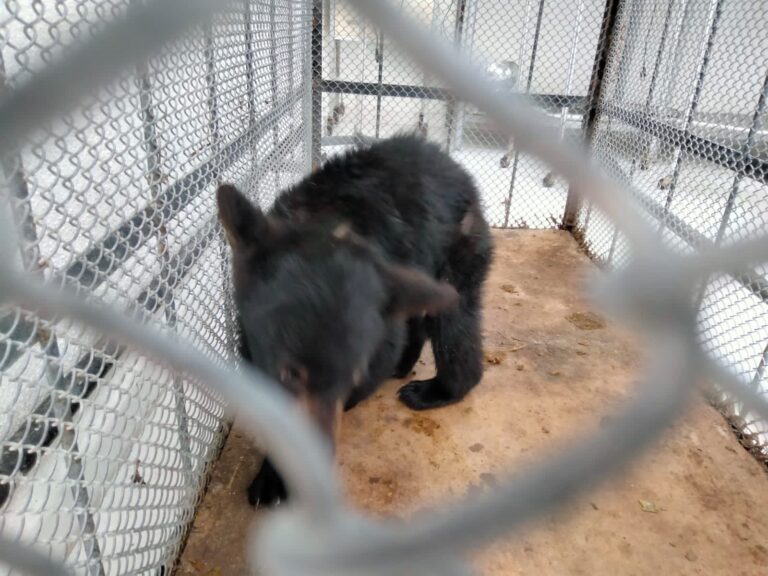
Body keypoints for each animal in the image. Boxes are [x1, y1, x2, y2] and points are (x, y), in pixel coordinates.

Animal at [216, 134, 492, 504]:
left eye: (351, 378)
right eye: (290, 372)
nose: (315, 460)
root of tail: (459, 170)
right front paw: (271, 477)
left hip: (457, 249)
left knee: (454, 325)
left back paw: (435, 390)